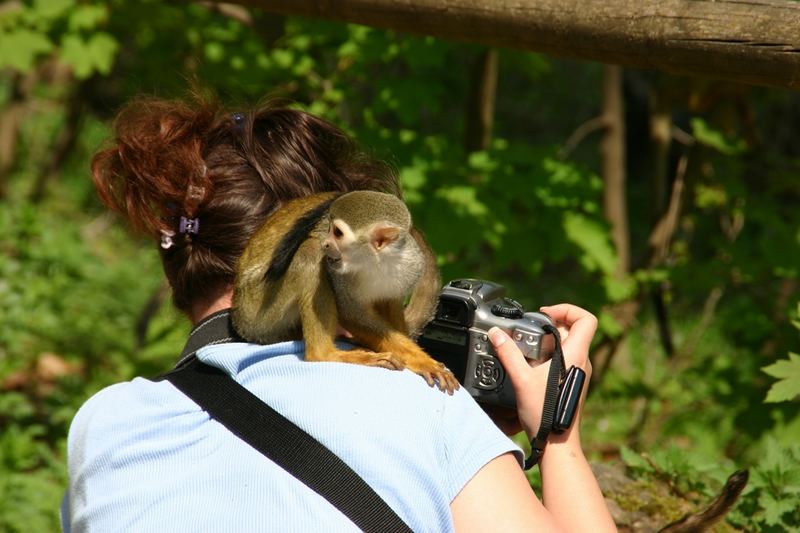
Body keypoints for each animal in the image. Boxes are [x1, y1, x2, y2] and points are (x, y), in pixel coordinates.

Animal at [233, 189, 456, 392]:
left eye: (338, 233)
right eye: (329, 229)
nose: (326, 243)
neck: (375, 262)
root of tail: (239, 317)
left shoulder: (412, 264)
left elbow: (390, 301)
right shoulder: (338, 273)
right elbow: (352, 313)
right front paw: (421, 360)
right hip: (257, 311)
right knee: (310, 251)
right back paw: (325, 354)